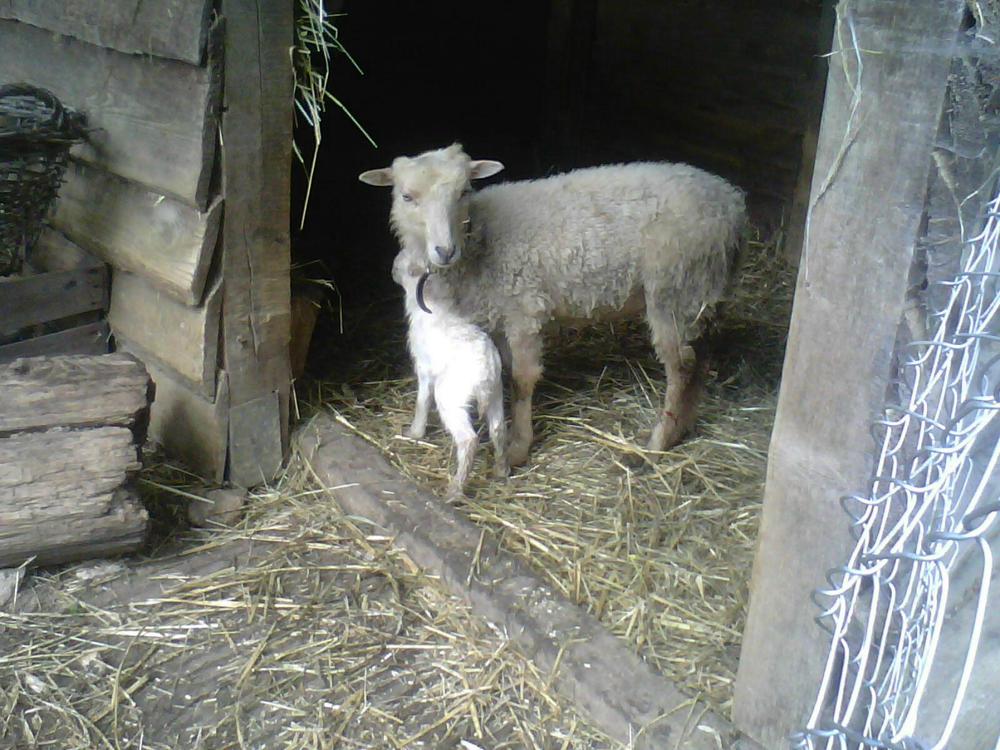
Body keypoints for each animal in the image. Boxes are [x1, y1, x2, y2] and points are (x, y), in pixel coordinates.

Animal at [364, 144, 748, 468]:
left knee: (680, 366)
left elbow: (522, 379)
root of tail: (731, 203)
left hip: (674, 287)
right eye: (406, 196)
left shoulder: (523, 308)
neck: (480, 241)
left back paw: (658, 441)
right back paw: (684, 425)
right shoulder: (500, 313)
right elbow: (504, 372)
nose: (445, 250)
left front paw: (519, 446)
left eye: (463, 192)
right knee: (700, 356)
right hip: (702, 292)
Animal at [390, 250, 508, 502]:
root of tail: (485, 371)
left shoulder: (424, 369)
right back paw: (502, 470)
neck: (434, 305)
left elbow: (422, 401)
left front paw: (414, 432)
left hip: (451, 398)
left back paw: (455, 490)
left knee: (469, 440)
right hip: (496, 393)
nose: (392, 269)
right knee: (498, 430)